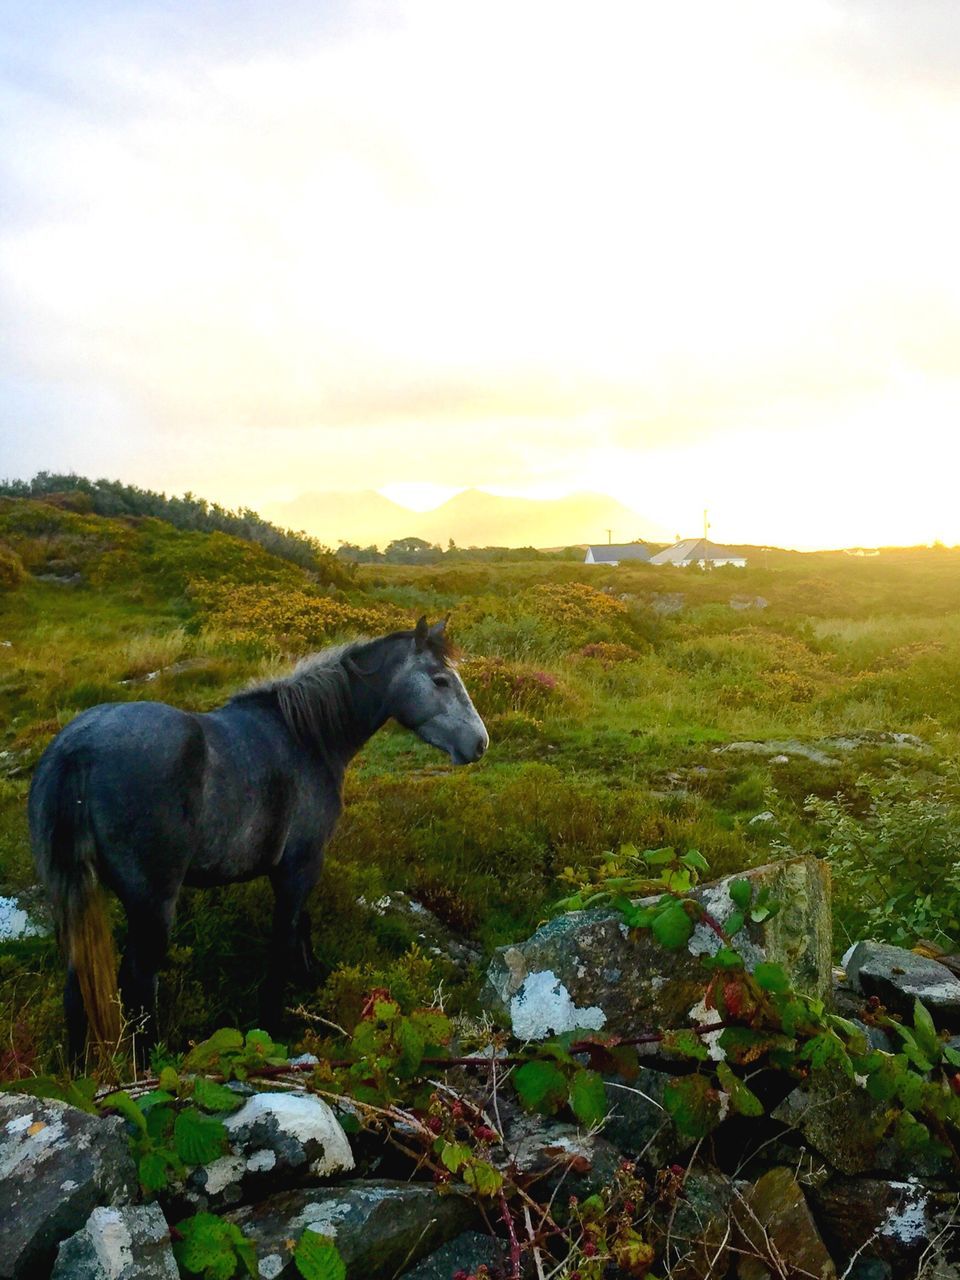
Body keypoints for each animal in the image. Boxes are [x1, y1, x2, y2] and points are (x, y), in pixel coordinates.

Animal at [29, 614, 488, 1064]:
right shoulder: (300, 866)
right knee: (138, 984)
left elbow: (300, 930)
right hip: (152, 904)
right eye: (440, 680)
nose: (479, 744)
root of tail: (77, 748)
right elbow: (283, 941)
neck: (305, 736)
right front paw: (273, 1024)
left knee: (78, 987)